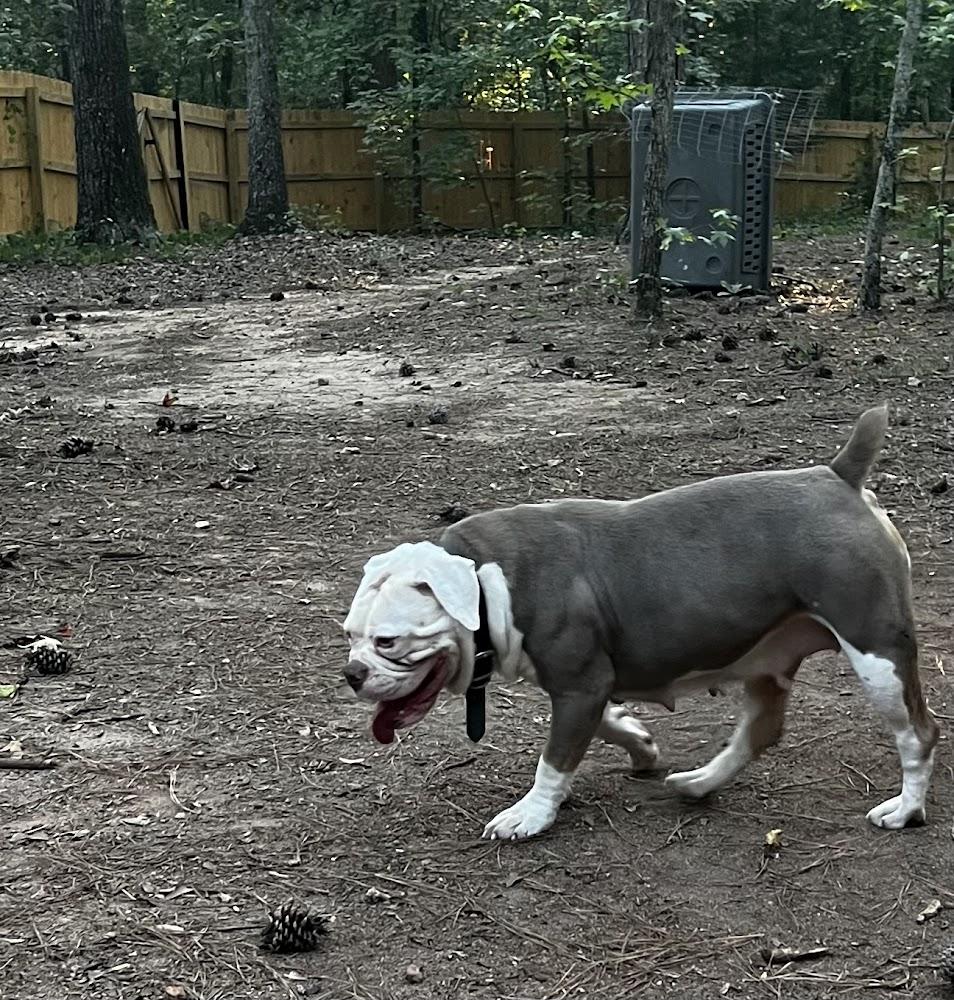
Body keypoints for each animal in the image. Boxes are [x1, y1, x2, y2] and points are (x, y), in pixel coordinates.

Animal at [342, 402, 936, 840]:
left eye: (387, 641)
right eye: (349, 635)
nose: (352, 673)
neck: (488, 581)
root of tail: (838, 476)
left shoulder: (581, 684)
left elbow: (554, 759)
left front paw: (530, 815)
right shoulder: (586, 687)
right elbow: (605, 723)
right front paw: (641, 743)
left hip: (878, 654)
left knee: (919, 734)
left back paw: (904, 810)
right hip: (769, 656)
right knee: (761, 729)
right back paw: (699, 782)